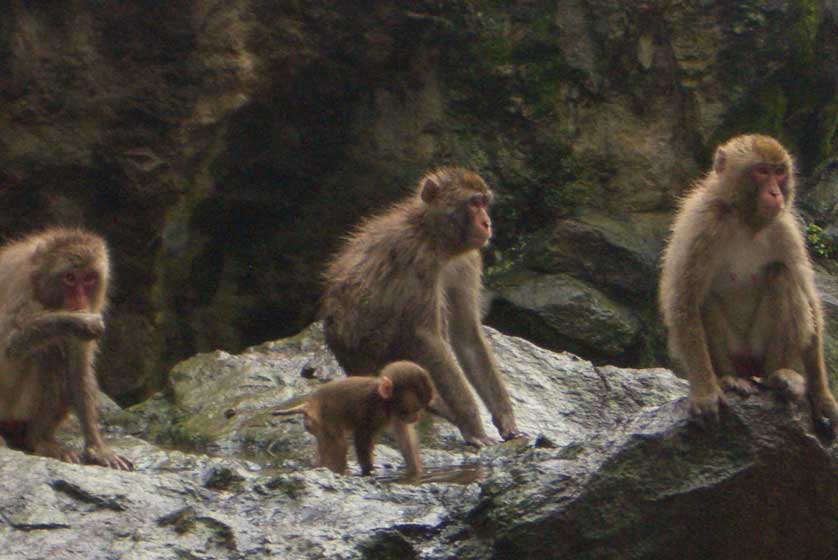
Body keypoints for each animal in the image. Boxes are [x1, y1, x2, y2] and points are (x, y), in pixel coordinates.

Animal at [0, 226, 133, 468]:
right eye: (70, 278)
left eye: (89, 278)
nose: (79, 300)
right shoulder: (21, 292)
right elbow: (9, 347)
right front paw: (74, 320)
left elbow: (79, 367)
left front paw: (98, 448)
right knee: (47, 354)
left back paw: (38, 439)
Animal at [274, 358, 434, 476]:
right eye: (413, 409)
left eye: (420, 409)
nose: (416, 417)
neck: (383, 401)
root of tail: (308, 404)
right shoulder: (372, 410)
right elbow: (362, 438)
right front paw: (369, 471)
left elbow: (406, 438)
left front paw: (416, 472)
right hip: (319, 419)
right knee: (337, 444)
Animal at [320, 165, 520, 446]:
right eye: (473, 203)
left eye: (483, 202)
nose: (487, 223)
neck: (436, 240)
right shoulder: (417, 259)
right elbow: (426, 336)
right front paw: (474, 427)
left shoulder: (468, 261)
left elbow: (467, 335)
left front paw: (506, 420)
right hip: (377, 351)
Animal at [664, 135, 838, 434]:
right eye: (762, 171)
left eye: (779, 172)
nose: (775, 193)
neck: (746, 221)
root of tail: (749, 367)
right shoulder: (703, 223)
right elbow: (684, 299)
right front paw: (705, 393)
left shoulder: (785, 230)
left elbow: (810, 299)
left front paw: (822, 398)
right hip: (734, 353)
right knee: (704, 299)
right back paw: (728, 379)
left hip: (759, 353)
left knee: (782, 276)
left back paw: (781, 376)